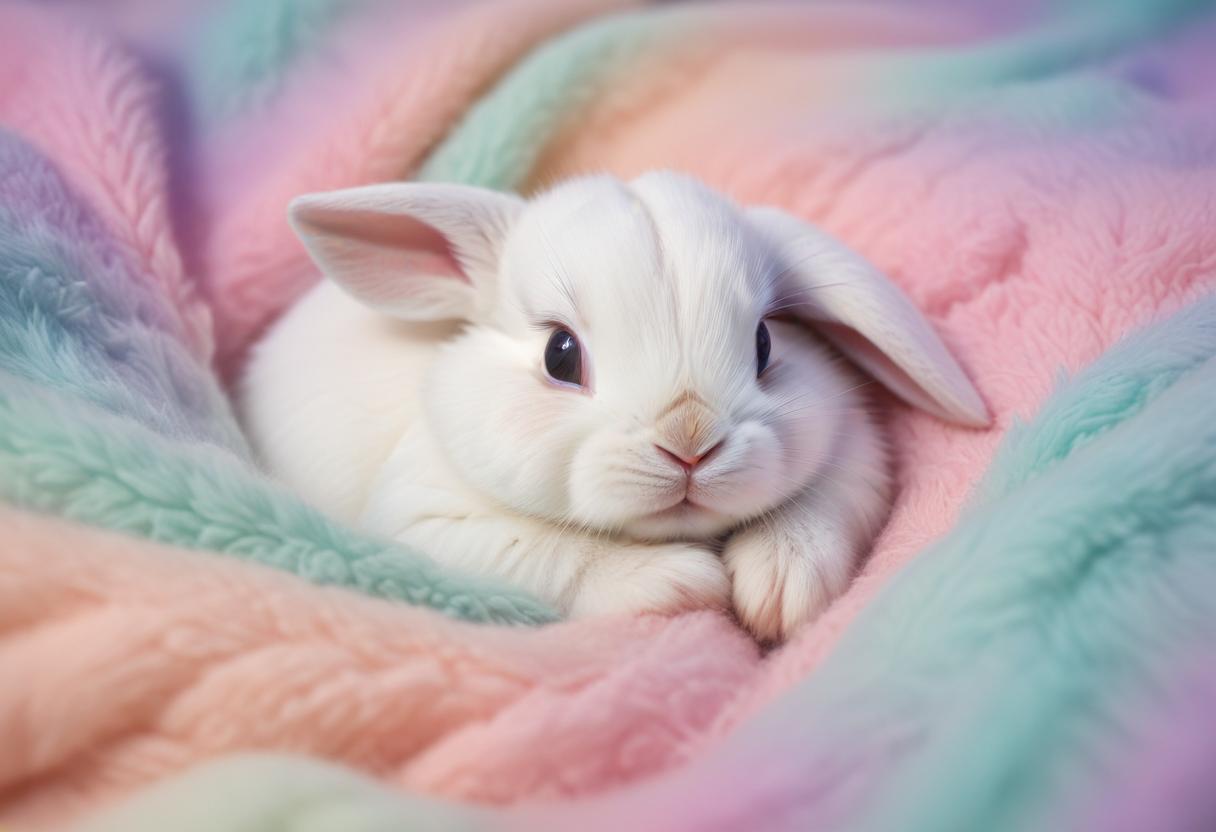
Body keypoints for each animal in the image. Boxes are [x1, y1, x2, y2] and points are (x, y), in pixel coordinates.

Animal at [240, 171, 988, 641]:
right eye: (559, 355)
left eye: (765, 343)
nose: (689, 442)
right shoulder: (432, 527)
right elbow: (554, 556)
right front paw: (686, 581)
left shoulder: (855, 461)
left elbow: (820, 512)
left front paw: (777, 586)